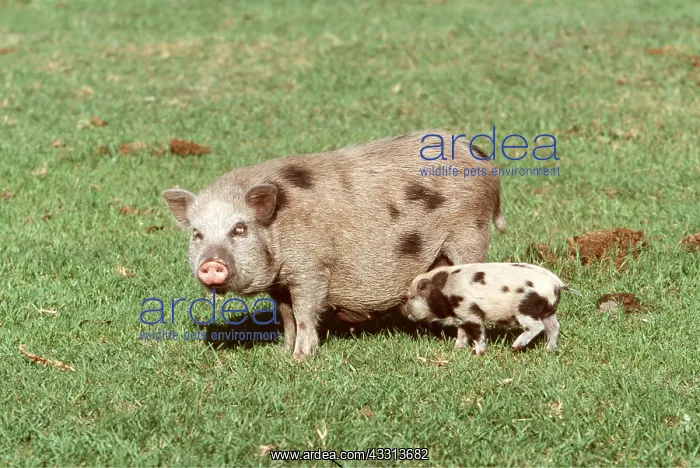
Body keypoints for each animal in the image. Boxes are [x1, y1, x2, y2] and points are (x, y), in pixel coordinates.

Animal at [162, 130, 506, 360]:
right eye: (197, 234)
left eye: (239, 229)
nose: (211, 264)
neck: (279, 226)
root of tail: (484, 161)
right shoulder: (281, 282)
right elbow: (286, 315)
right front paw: (281, 352)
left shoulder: (311, 268)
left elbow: (304, 312)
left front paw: (301, 358)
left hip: (469, 236)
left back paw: (462, 349)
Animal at [403, 263, 581, 354]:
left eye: (410, 297)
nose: (404, 311)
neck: (444, 291)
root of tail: (556, 283)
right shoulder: (461, 316)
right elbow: (462, 332)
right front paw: (457, 349)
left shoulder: (470, 310)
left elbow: (478, 332)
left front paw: (479, 353)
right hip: (548, 311)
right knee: (554, 326)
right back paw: (549, 349)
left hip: (525, 307)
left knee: (537, 326)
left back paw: (515, 347)